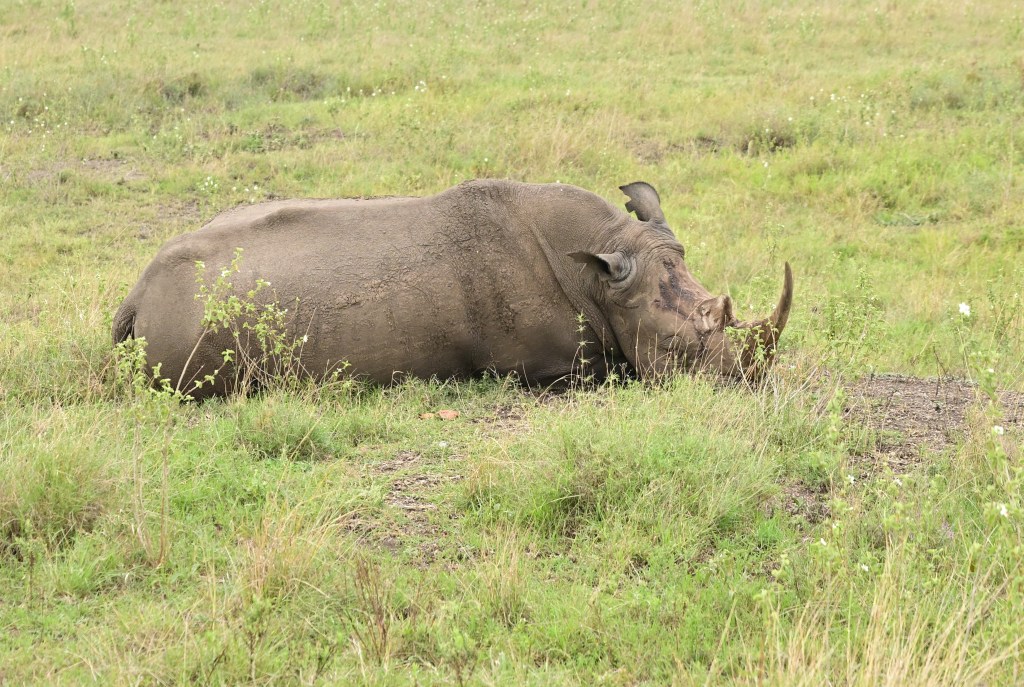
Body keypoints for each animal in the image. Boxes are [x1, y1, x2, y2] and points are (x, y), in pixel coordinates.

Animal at [113, 180, 793, 399]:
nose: (748, 383)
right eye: (677, 352)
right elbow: (615, 369)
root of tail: (138, 293)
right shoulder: (549, 368)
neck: (602, 269)